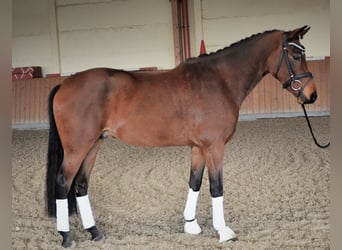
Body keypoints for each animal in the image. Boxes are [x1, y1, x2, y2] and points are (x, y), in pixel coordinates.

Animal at [46, 25, 318, 248]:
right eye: (296, 56)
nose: (312, 95)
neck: (219, 80)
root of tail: (64, 85)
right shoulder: (215, 147)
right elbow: (216, 187)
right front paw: (224, 231)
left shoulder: (199, 148)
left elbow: (194, 182)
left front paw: (191, 225)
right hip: (77, 148)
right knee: (63, 182)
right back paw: (67, 237)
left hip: (93, 145)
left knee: (81, 185)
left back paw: (95, 232)